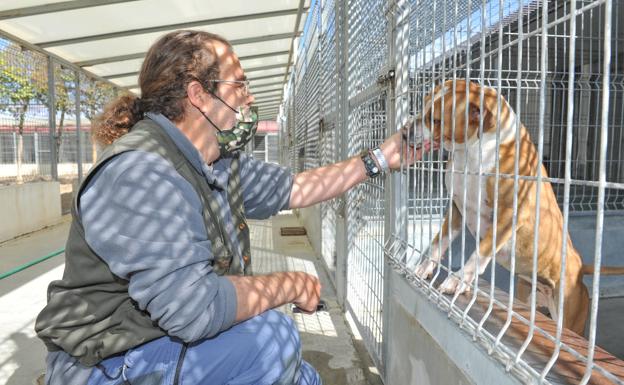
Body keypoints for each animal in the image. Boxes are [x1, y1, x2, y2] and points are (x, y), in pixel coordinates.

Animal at [410, 79, 624, 334]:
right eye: (423, 106)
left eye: (435, 120)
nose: (406, 132)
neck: (473, 152)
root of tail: (580, 266)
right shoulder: (456, 208)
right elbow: (438, 242)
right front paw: (425, 267)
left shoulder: (507, 217)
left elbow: (479, 253)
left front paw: (457, 279)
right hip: (527, 293)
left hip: (570, 316)